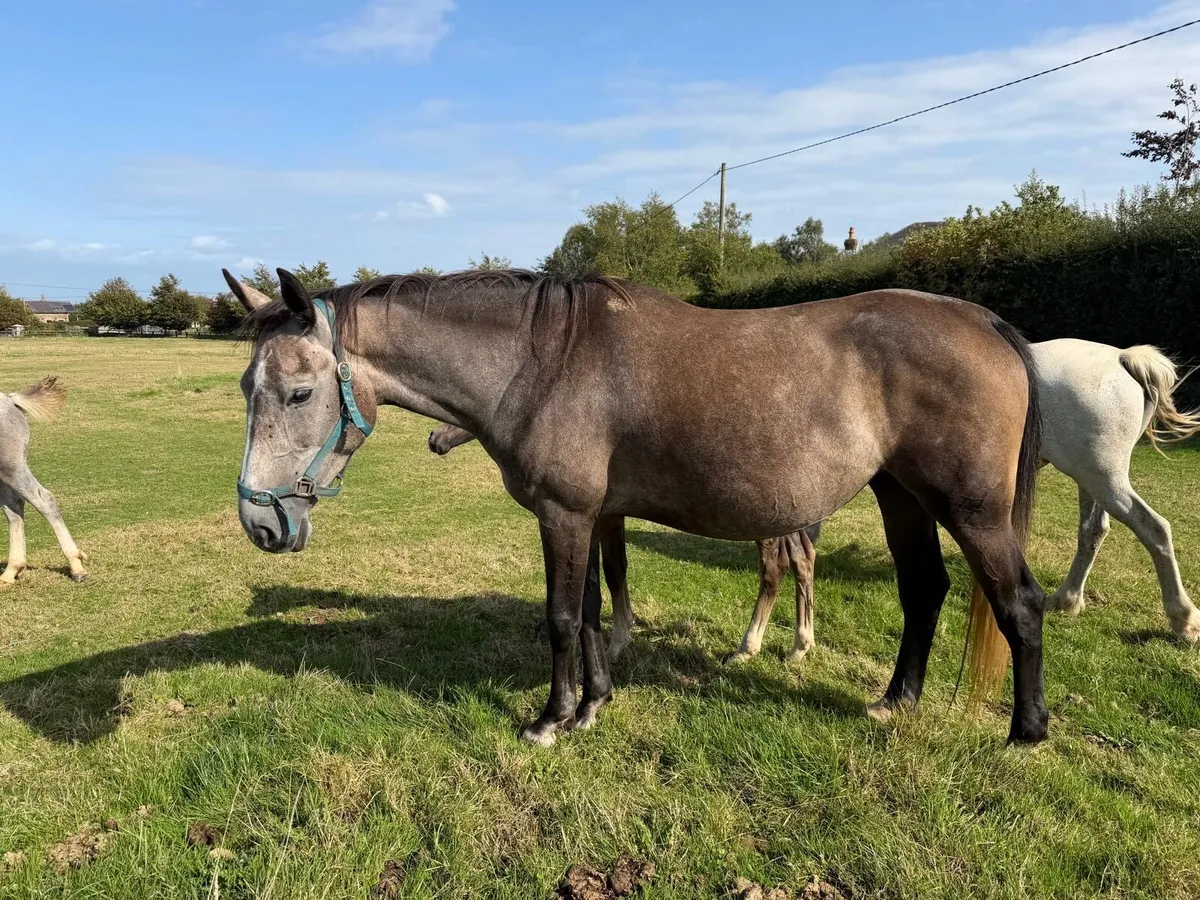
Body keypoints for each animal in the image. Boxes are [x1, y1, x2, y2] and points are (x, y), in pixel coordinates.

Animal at [0, 377, 87, 584]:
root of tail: (10, 400)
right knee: (14, 507)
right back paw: (10, 572)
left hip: (11, 467)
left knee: (43, 499)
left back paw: (76, 566)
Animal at [428, 421, 824, 664]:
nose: (434, 439)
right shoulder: (606, 515)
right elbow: (612, 569)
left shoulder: (605, 515)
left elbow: (615, 568)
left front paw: (618, 642)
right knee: (802, 558)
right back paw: (799, 645)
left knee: (775, 567)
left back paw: (750, 647)